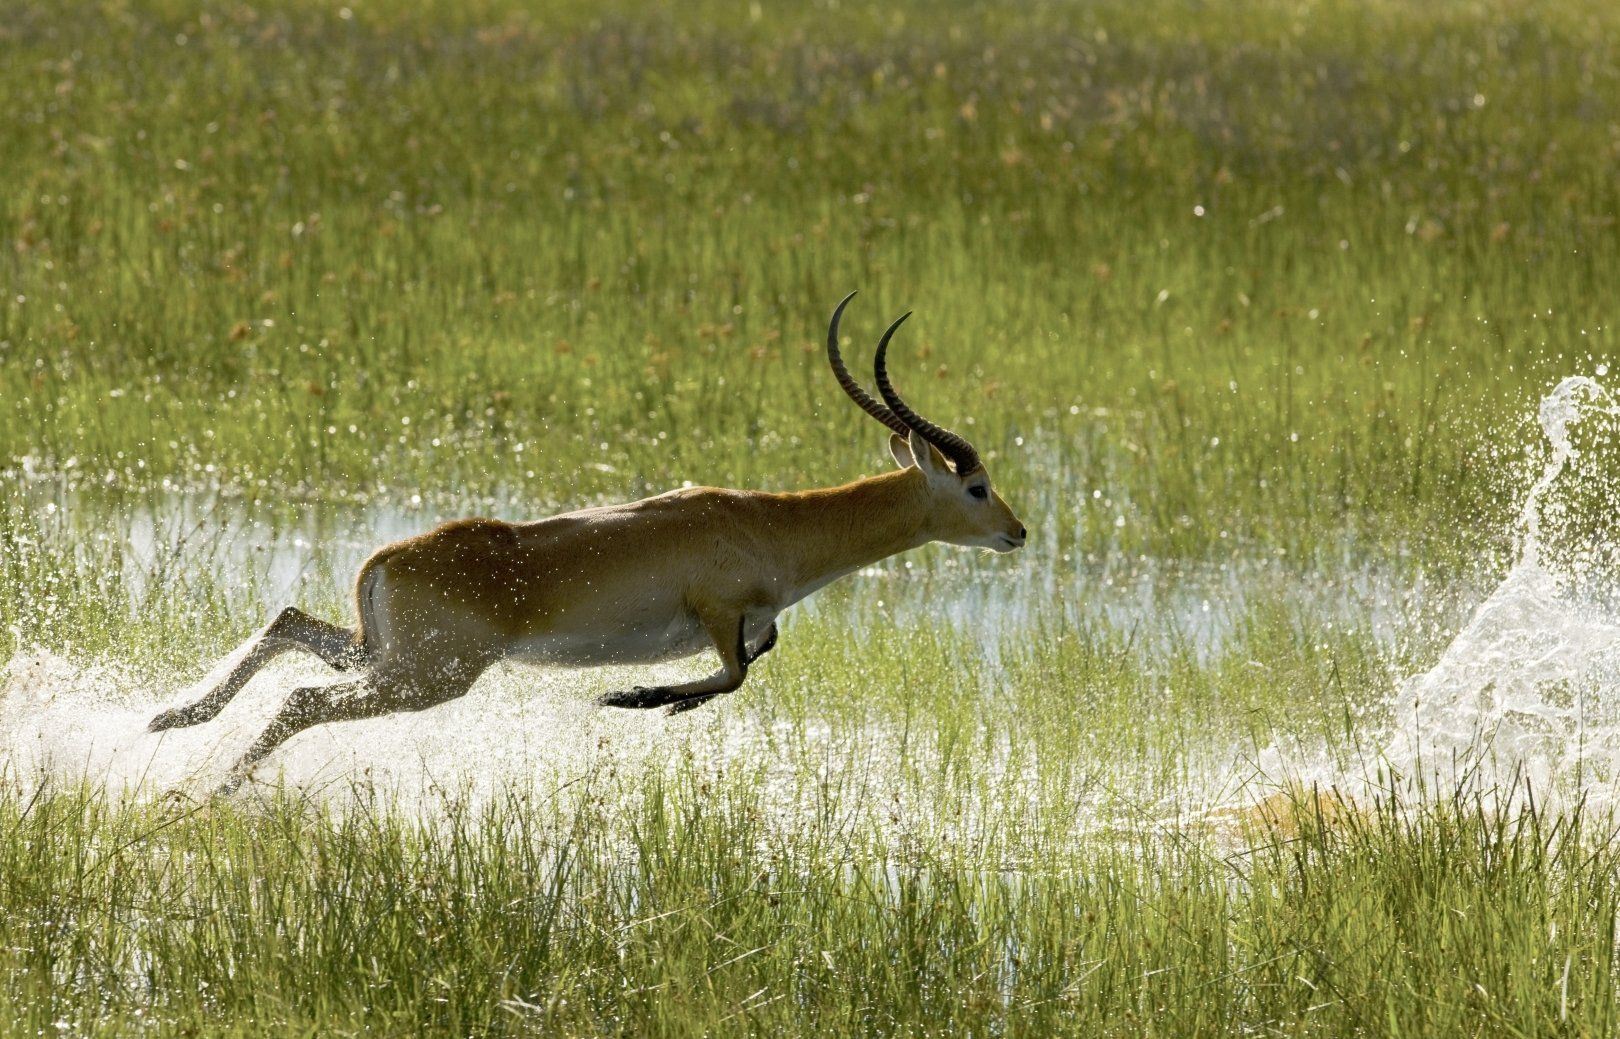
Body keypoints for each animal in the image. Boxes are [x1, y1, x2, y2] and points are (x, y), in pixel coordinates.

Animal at [149, 293, 1027, 793]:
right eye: (976, 487)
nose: (1017, 532)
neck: (767, 525)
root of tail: (387, 557)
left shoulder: (751, 620)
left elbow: (752, 661)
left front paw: (652, 700)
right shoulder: (717, 612)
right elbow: (736, 672)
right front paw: (633, 696)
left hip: (383, 654)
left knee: (289, 623)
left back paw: (172, 720)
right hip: (427, 677)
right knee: (302, 698)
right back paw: (214, 786)